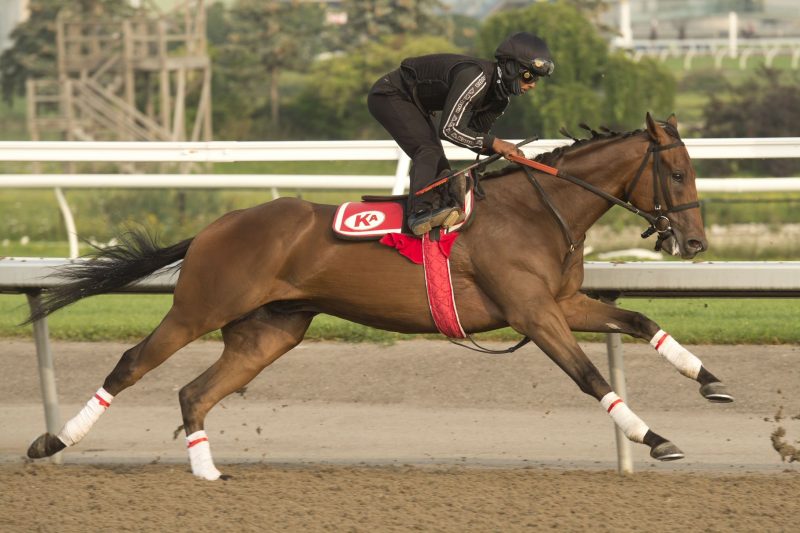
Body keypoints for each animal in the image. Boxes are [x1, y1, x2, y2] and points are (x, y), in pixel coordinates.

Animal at [27, 113, 732, 480]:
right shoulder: (532, 313)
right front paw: (655, 436)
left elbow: (638, 318)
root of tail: (214, 226)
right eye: (676, 172)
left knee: (194, 393)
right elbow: (591, 378)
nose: (695, 242)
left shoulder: (562, 305)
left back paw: (207, 472)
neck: (539, 210)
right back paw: (51, 444)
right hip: (199, 306)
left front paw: (712, 383)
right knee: (132, 365)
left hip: (270, 331)